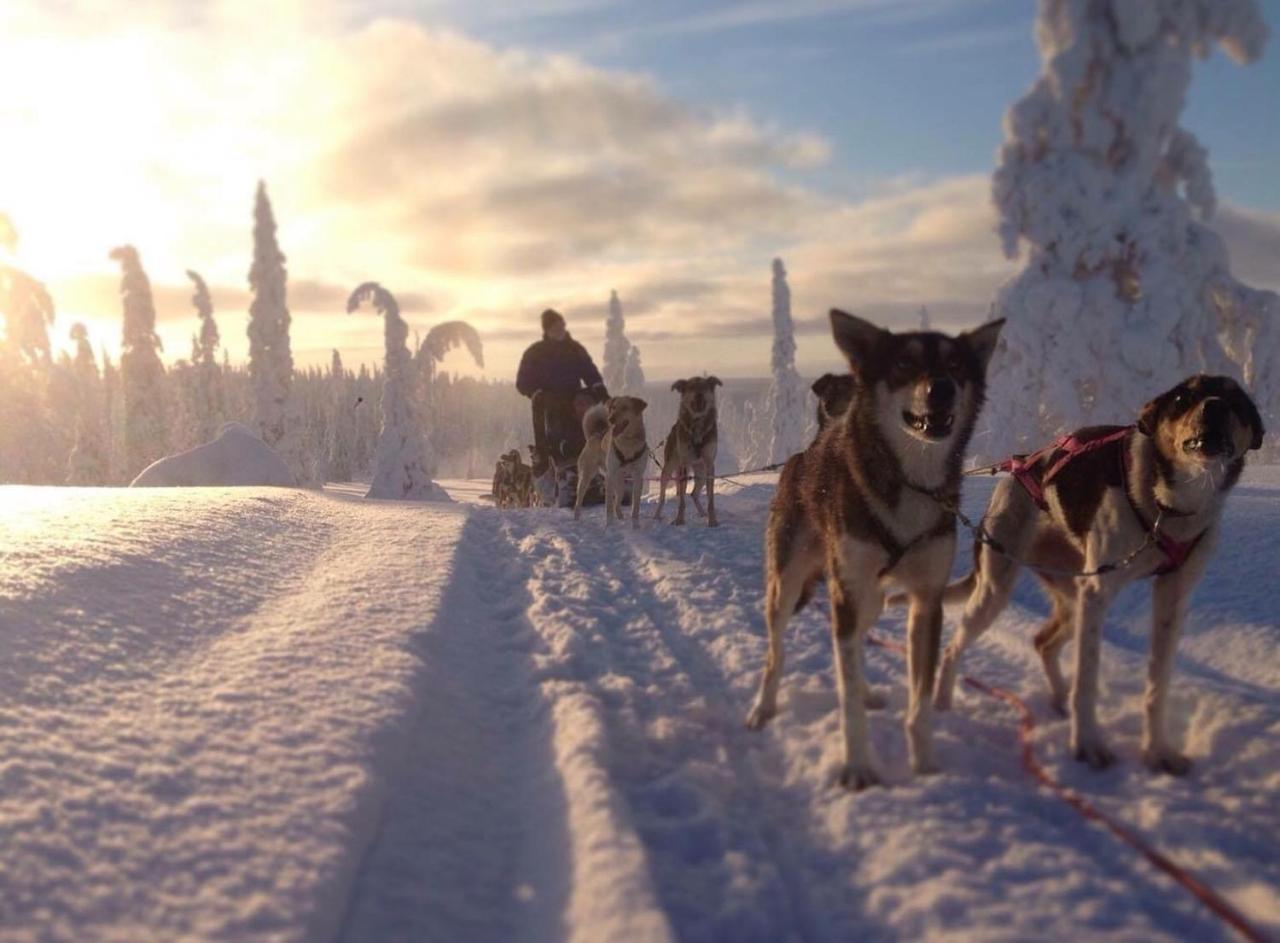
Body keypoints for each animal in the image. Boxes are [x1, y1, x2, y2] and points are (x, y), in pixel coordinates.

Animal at [576, 396, 650, 527]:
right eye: (613, 407)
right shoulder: (610, 477)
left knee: (617, 503)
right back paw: (576, 519)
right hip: (586, 477)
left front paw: (635, 526)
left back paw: (621, 519)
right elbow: (609, 506)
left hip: (620, 484)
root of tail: (595, 435)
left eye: (625, 407)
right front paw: (609, 526)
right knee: (579, 500)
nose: (611, 419)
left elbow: (635, 507)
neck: (628, 443)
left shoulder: (638, 476)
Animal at [655, 376, 727, 522]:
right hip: (670, 468)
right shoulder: (684, 464)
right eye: (691, 387)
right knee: (663, 496)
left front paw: (712, 521)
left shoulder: (709, 465)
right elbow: (681, 501)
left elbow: (710, 499)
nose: (699, 394)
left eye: (704, 387)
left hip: (701, 473)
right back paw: (657, 514)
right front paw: (679, 520)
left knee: (693, 494)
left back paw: (703, 513)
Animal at [747, 309, 1003, 788]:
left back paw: (866, 692)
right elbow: (845, 693)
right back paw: (762, 708)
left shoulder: (926, 602)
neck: (910, 482)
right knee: (778, 654)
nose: (943, 388)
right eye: (904, 363)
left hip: (872, 599)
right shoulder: (846, 593)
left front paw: (925, 765)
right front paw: (857, 769)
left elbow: (919, 700)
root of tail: (802, 458)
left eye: (955, 365)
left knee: (855, 645)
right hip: (790, 588)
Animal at [926, 376, 1264, 772]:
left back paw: (1058, 698)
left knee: (1042, 642)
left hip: (1075, 598)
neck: (1171, 510)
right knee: (954, 647)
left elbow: (1157, 684)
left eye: (1236, 401)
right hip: (1002, 590)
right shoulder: (1099, 592)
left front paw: (1157, 750)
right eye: (1183, 396)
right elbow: (1087, 679)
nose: (1215, 406)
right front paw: (1087, 743)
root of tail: (1017, 469)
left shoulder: (1171, 600)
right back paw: (943, 704)